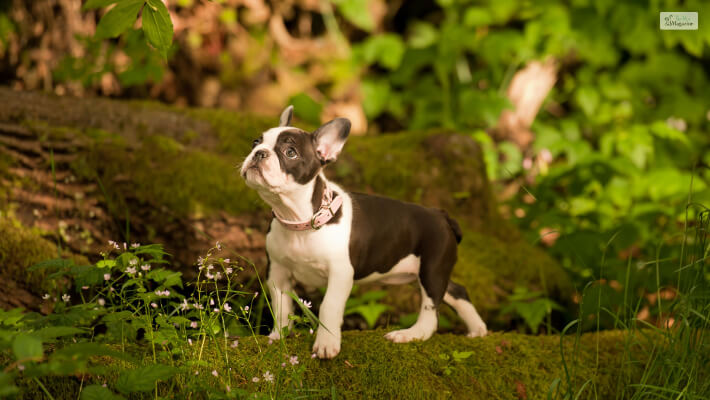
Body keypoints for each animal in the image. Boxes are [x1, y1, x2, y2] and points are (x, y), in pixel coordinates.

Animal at [242, 106, 486, 360]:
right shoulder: (277, 272)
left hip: (432, 269)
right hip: (426, 272)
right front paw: (278, 337)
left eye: (290, 152)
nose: (259, 153)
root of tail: (441, 215)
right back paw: (478, 329)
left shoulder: (340, 273)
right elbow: (281, 307)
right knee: (456, 290)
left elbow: (329, 305)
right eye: (255, 142)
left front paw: (327, 344)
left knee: (431, 314)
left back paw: (408, 335)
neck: (300, 221)